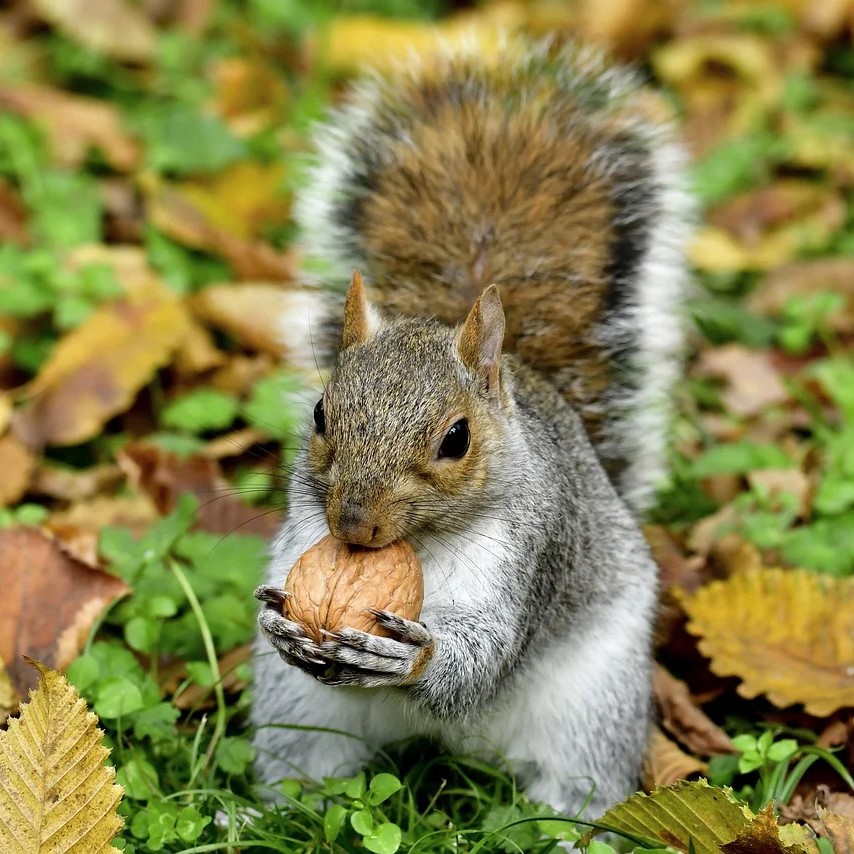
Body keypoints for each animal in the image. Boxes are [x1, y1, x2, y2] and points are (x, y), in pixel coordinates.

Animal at [251, 38, 692, 824]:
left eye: (456, 439)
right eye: (320, 414)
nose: (353, 526)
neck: (423, 545)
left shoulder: (531, 556)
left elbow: (481, 659)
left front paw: (408, 660)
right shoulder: (305, 528)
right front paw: (280, 623)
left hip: (593, 704)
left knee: (577, 784)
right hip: (298, 715)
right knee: (304, 770)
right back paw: (265, 813)